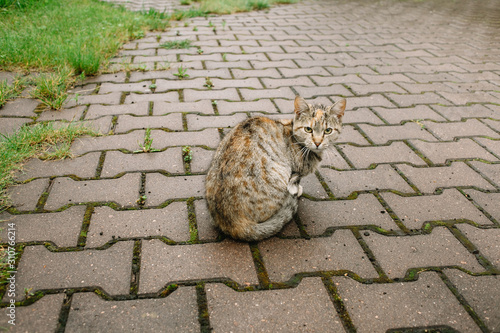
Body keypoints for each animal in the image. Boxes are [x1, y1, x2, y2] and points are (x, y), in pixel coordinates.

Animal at [203, 94, 344, 240]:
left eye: (328, 131)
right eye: (308, 129)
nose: (317, 142)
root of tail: (230, 222)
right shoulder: (294, 169)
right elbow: (295, 180)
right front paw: (296, 189)